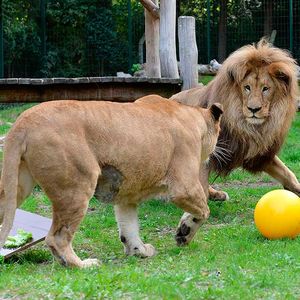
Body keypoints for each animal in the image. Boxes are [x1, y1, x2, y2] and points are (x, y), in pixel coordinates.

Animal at [0, 95, 223, 268]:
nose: (215, 153)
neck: (193, 116)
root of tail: (23, 121)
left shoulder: (126, 196)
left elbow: (129, 226)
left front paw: (140, 251)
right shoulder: (184, 186)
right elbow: (203, 210)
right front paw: (184, 233)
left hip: (16, 186)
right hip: (77, 186)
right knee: (57, 237)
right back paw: (83, 264)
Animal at [171, 39, 300, 199]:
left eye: (265, 88)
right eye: (247, 87)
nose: (253, 109)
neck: (244, 125)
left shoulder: (258, 153)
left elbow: (288, 174)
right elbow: (201, 183)